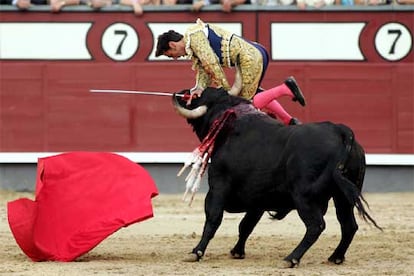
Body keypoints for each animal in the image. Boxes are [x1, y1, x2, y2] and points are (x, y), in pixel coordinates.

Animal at [172, 87, 382, 268]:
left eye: (199, 95)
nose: (184, 92)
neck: (229, 126)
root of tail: (340, 131)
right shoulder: (257, 199)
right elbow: (246, 225)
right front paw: (237, 251)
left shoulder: (218, 186)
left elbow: (213, 218)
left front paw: (197, 252)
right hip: (342, 196)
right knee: (349, 225)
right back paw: (335, 257)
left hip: (304, 197)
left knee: (316, 226)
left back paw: (291, 258)